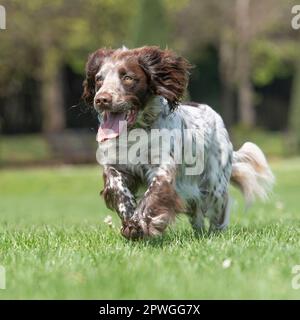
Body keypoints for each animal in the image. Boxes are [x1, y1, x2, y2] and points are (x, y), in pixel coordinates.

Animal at [81, 46, 274, 239]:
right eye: (99, 79)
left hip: (215, 185)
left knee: (220, 209)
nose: (101, 99)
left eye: (127, 77)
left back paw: (216, 233)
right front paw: (130, 219)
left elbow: (151, 196)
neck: (135, 133)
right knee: (197, 216)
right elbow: (119, 189)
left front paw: (139, 224)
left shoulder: (162, 169)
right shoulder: (114, 165)